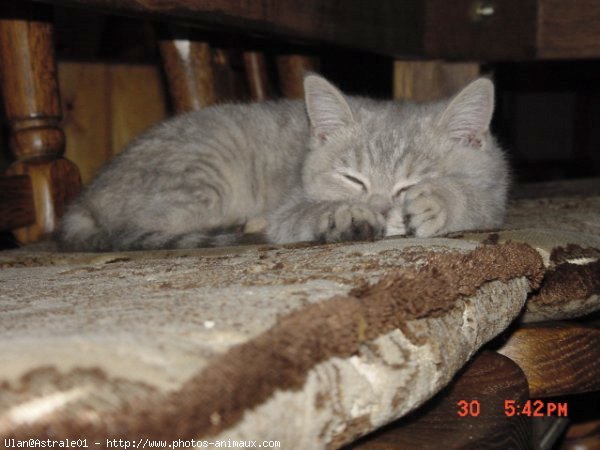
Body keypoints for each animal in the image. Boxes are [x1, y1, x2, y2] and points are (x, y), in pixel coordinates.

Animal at [56, 72, 508, 251]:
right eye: (352, 179)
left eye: (409, 183)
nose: (381, 208)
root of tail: (84, 198)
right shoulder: (289, 207)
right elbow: (302, 213)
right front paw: (344, 214)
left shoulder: (496, 191)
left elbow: (477, 200)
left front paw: (438, 201)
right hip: (203, 184)